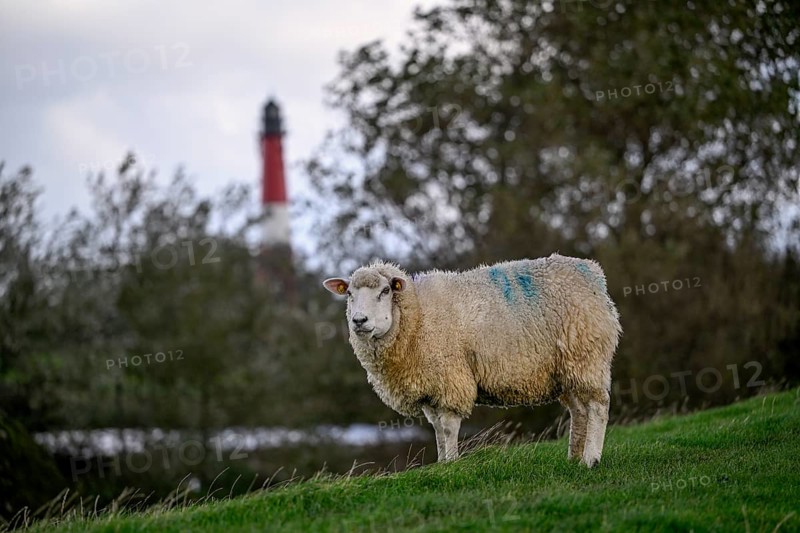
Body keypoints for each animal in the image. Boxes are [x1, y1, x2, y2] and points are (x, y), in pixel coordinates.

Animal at [323, 254, 622, 467]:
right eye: (349, 294)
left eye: (385, 291)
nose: (359, 321)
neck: (417, 317)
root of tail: (594, 274)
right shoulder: (430, 387)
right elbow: (436, 429)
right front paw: (442, 463)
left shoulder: (449, 378)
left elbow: (448, 426)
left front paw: (452, 464)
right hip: (567, 369)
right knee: (579, 410)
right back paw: (574, 457)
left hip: (587, 355)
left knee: (598, 406)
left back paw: (590, 459)